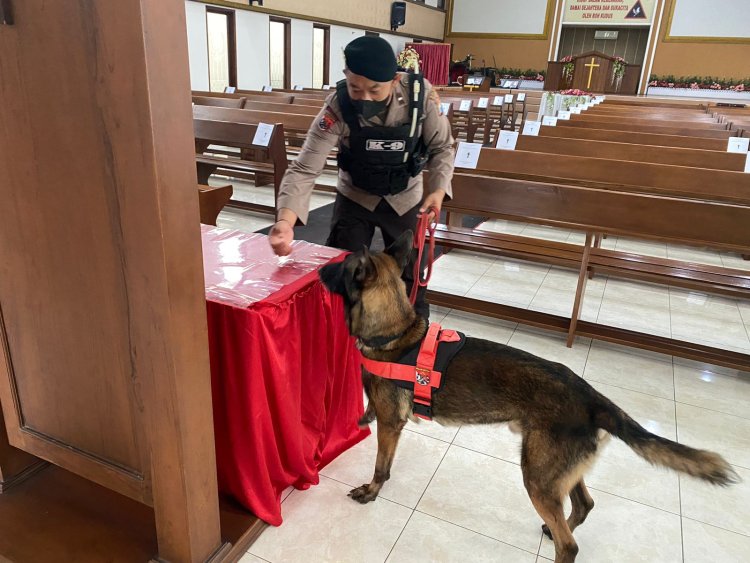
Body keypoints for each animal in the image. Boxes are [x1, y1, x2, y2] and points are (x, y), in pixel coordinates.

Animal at [318, 230, 740, 563]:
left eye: (342, 266)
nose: (321, 264)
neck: (395, 333)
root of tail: (594, 399)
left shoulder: (393, 425)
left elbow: (381, 466)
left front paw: (372, 491)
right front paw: (363, 417)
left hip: (537, 478)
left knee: (570, 545)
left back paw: (560, 539)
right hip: (556, 472)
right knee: (584, 505)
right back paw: (555, 528)